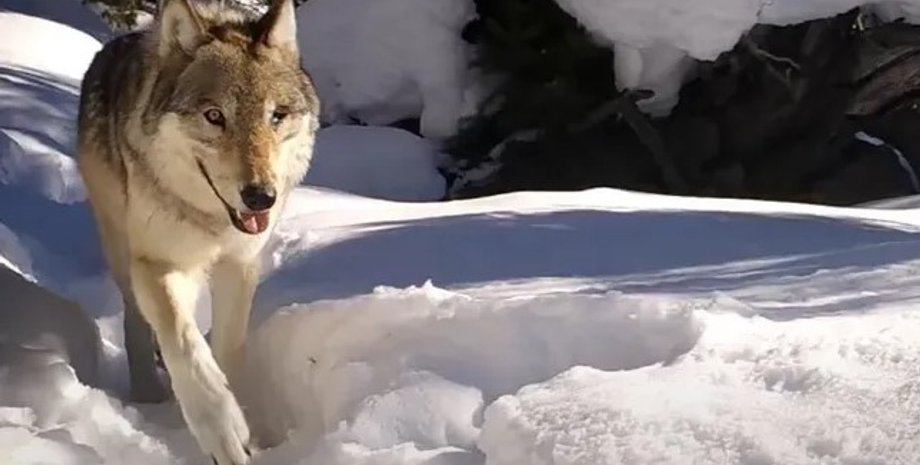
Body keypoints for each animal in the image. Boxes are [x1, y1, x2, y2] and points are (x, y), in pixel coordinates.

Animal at [76, 0, 319, 463]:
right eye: (214, 116)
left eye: (276, 116)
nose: (261, 197)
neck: (213, 222)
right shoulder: (156, 262)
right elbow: (186, 345)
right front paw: (224, 431)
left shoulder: (239, 265)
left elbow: (228, 348)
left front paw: (251, 431)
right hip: (122, 249)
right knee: (139, 322)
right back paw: (148, 392)